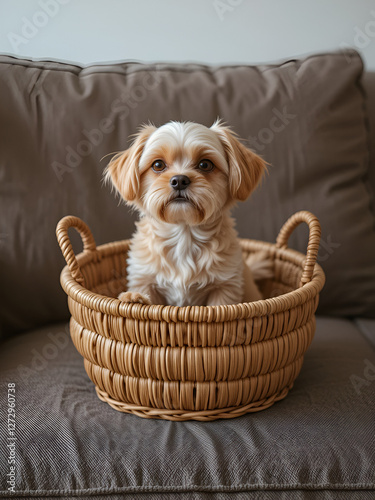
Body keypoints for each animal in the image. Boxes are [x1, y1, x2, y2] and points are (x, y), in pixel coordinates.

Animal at [106, 121, 268, 308]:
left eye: (205, 165)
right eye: (158, 165)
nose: (179, 180)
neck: (184, 234)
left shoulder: (225, 287)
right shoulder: (144, 279)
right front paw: (134, 297)